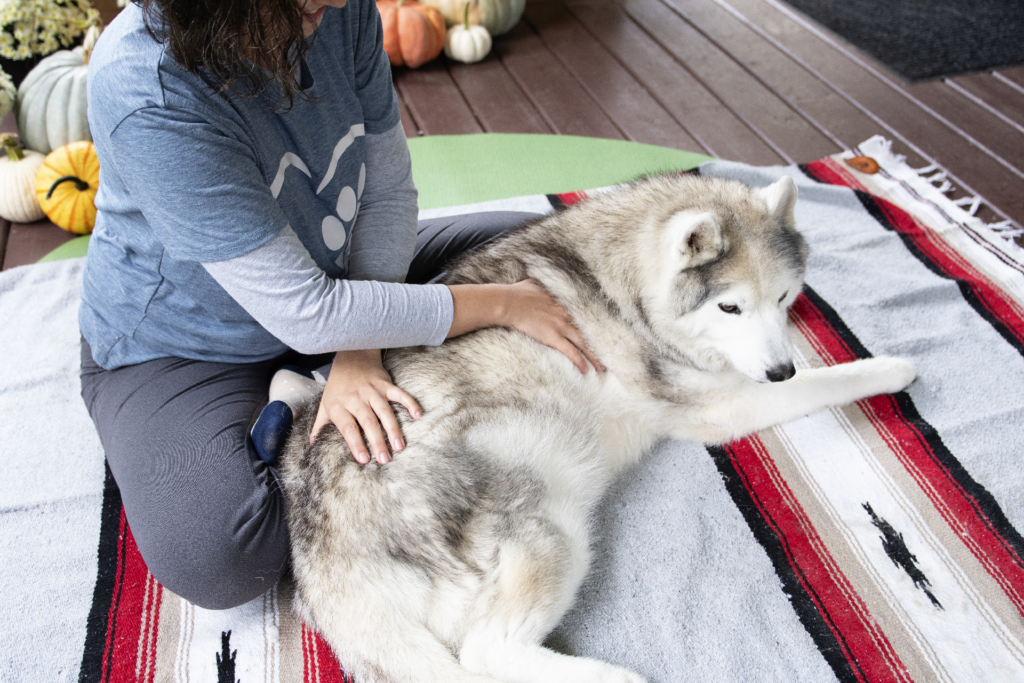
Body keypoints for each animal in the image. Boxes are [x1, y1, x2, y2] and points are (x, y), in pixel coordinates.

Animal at [278, 174, 913, 683]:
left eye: (781, 295)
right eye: (729, 308)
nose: (779, 370)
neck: (623, 283)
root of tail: (322, 555)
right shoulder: (720, 407)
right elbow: (829, 381)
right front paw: (889, 368)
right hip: (552, 519)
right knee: (486, 654)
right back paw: (616, 679)